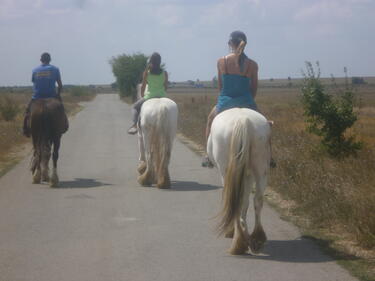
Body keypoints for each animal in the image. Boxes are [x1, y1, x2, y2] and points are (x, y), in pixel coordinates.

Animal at [207, 107, 272, 254]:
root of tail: (243, 120)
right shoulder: (248, 175)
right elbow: (246, 202)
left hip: (226, 171)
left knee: (233, 199)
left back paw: (238, 241)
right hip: (260, 168)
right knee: (258, 199)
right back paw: (256, 239)